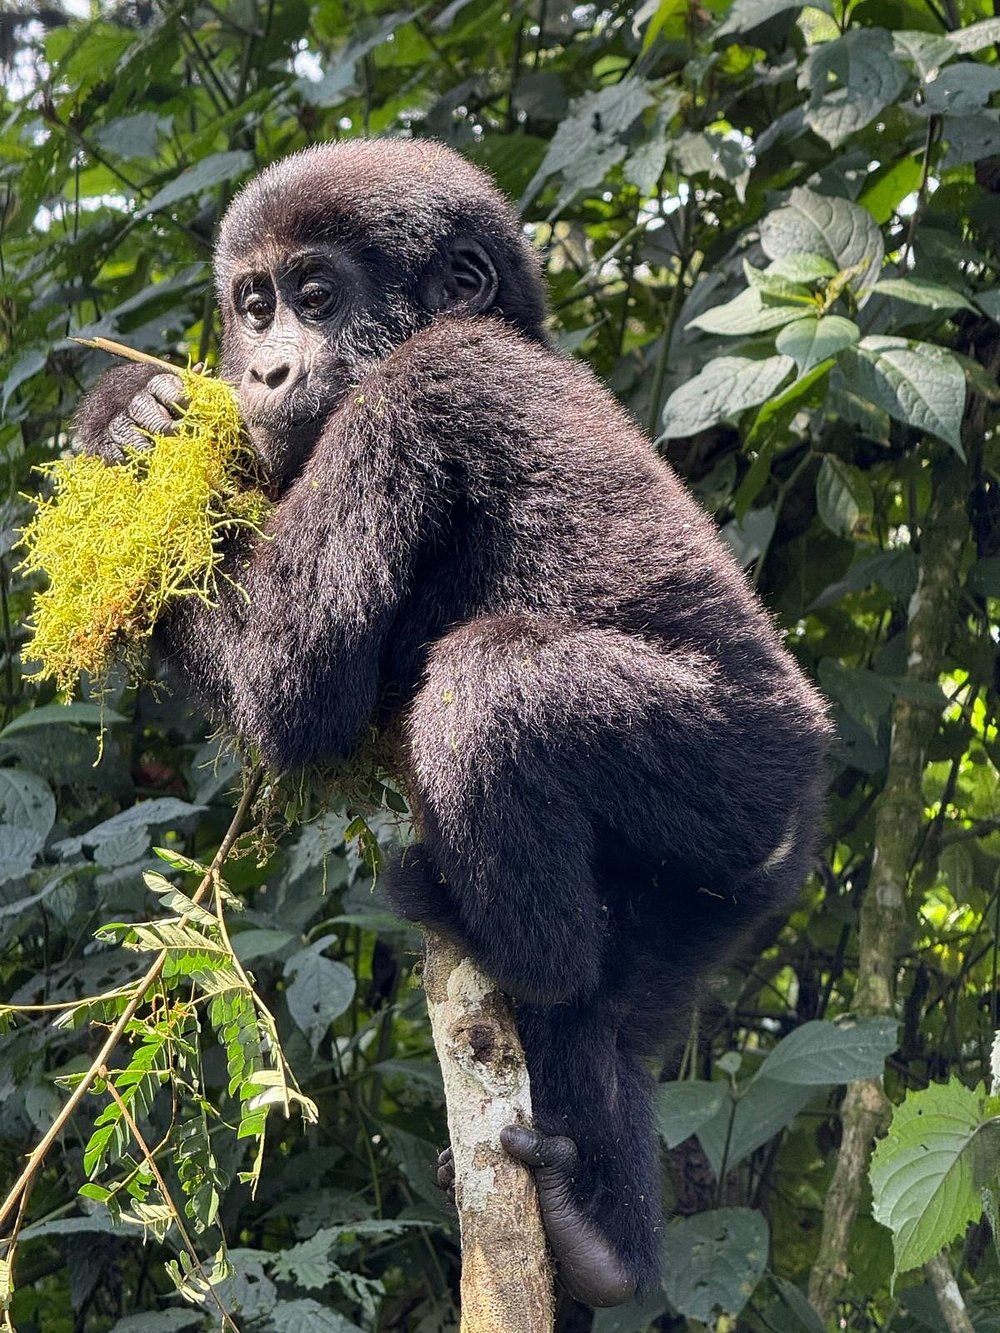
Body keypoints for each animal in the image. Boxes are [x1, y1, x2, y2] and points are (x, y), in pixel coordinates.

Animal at [73, 138, 831, 1307]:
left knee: (490, 691)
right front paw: (128, 417)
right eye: (253, 304)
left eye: (317, 297)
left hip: (740, 772)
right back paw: (602, 1242)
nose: (265, 373)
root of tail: (807, 790)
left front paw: (116, 419)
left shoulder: (419, 391)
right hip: (729, 893)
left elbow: (287, 679)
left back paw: (501, 937)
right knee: (607, 1019)